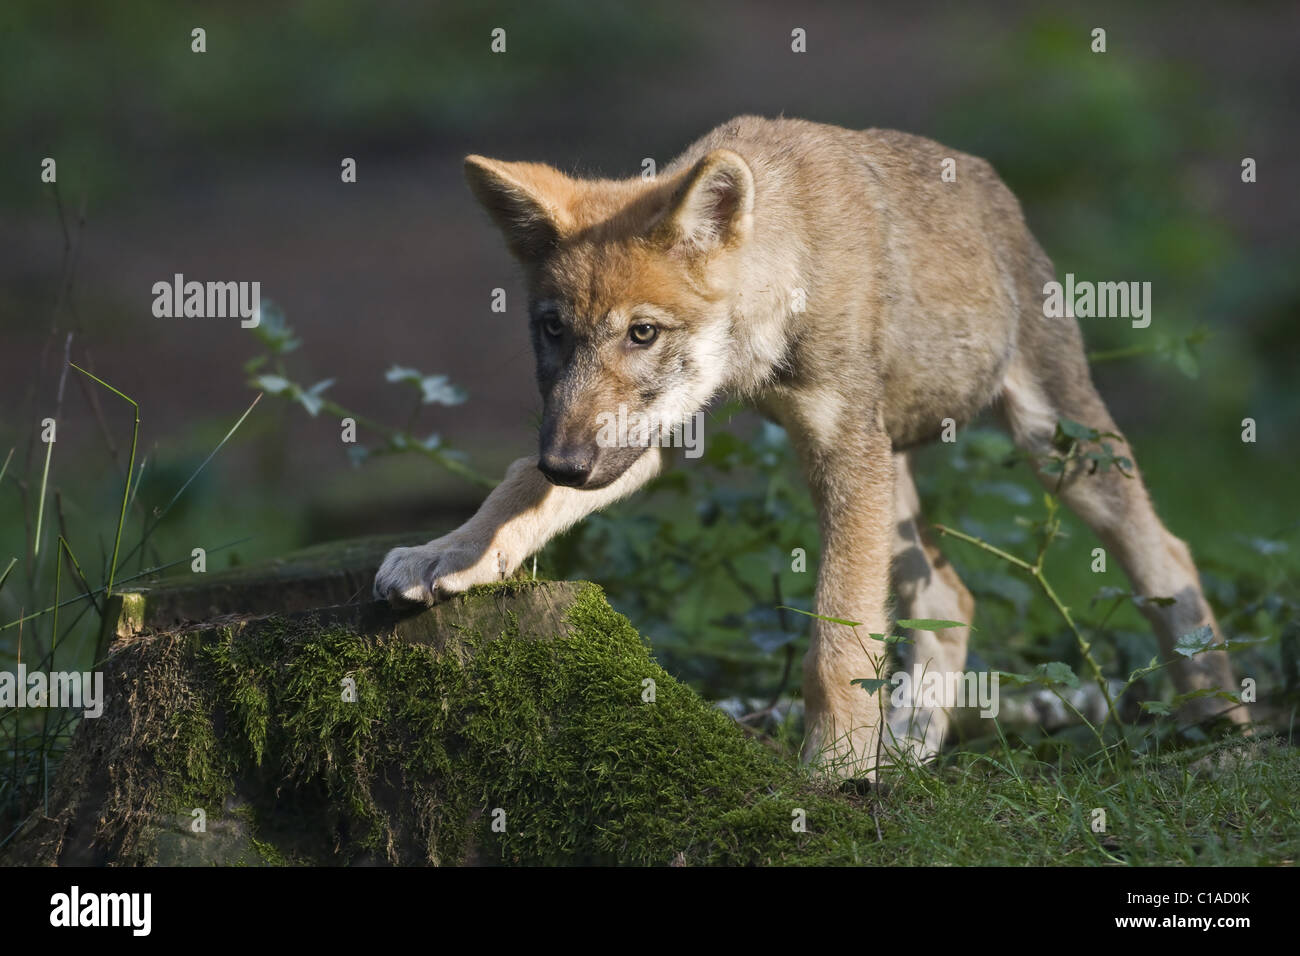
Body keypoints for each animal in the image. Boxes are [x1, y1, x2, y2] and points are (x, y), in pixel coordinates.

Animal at [374, 116, 1244, 778]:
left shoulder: (838, 454)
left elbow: (833, 645)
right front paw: (448, 552)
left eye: (642, 333)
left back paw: (1216, 723)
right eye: (553, 331)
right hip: (897, 486)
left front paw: (833, 773)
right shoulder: (657, 440)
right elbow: (516, 486)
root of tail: (993, 185)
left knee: (1166, 554)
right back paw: (909, 753)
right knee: (950, 597)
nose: (569, 463)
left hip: (1057, 452)